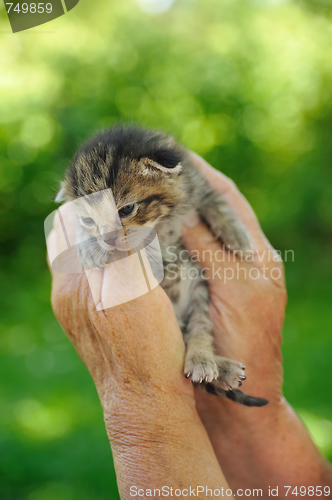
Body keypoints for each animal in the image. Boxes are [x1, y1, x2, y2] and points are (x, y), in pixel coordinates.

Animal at [55, 124, 268, 406]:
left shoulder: (196, 183)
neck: (161, 222)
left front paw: (238, 236)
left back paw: (205, 361)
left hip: (197, 292)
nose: (108, 238)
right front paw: (90, 247)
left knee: (200, 329)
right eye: (89, 220)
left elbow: (216, 202)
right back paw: (221, 370)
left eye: (127, 209)